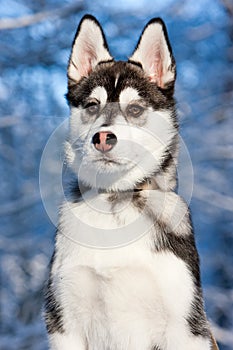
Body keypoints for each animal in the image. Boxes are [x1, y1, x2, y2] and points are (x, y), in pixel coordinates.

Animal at [44, 15, 218, 350]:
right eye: (92, 106)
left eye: (135, 109)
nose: (103, 138)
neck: (115, 199)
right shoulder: (64, 323)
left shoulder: (187, 328)